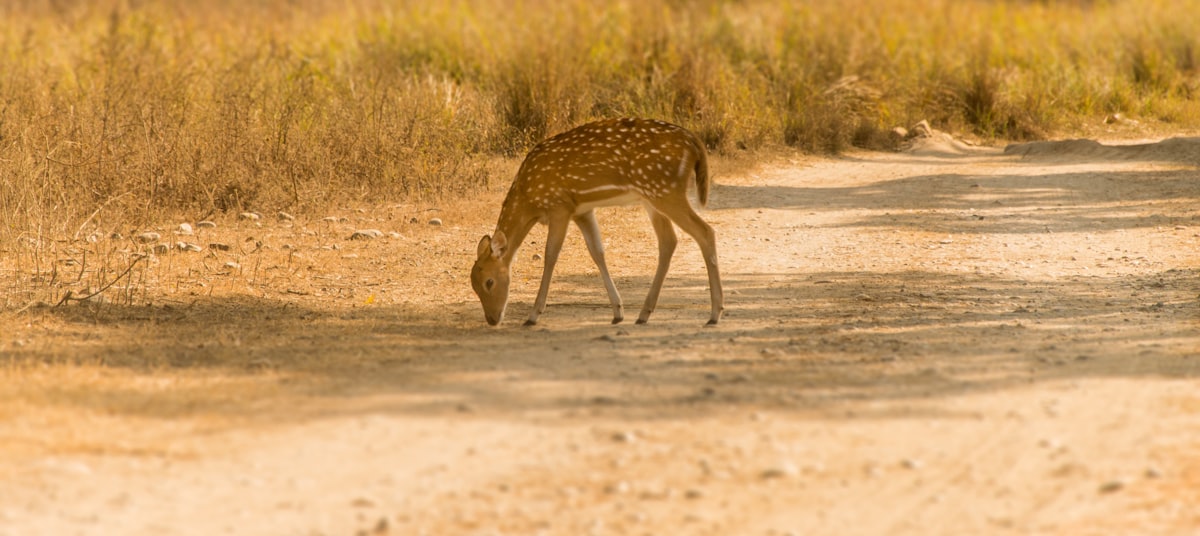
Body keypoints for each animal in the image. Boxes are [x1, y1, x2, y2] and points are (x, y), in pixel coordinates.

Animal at [471, 118, 723, 327]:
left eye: (489, 282)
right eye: (473, 285)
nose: (492, 319)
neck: (529, 199)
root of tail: (695, 143)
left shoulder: (559, 205)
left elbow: (551, 254)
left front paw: (533, 315)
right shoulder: (582, 211)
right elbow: (597, 252)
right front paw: (618, 312)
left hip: (666, 190)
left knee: (705, 231)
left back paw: (714, 313)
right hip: (653, 196)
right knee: (668, 241)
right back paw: (643, 314)